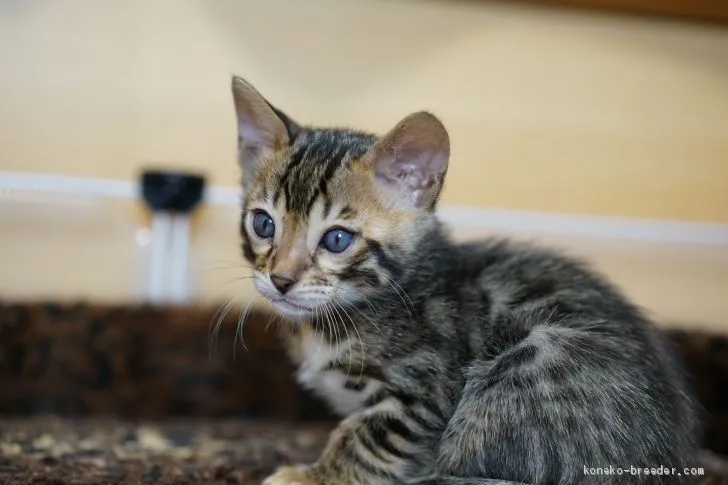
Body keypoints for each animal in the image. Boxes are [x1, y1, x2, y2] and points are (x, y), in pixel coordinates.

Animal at [232, 76, 700, 484]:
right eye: (263, 224)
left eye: (337, 239)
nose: (281, 279)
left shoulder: (425, 391)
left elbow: (367, 437)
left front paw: (314, 475)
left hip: (531, 360)